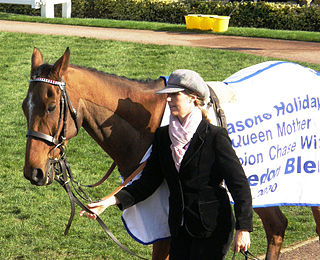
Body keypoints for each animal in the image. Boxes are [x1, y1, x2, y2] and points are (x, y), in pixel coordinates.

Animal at [22, 47, 320, 258]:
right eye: (25, 105)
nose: (33, 172)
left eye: (51, 106)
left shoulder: (166, 224)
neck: (152, 123)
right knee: (276, 227)